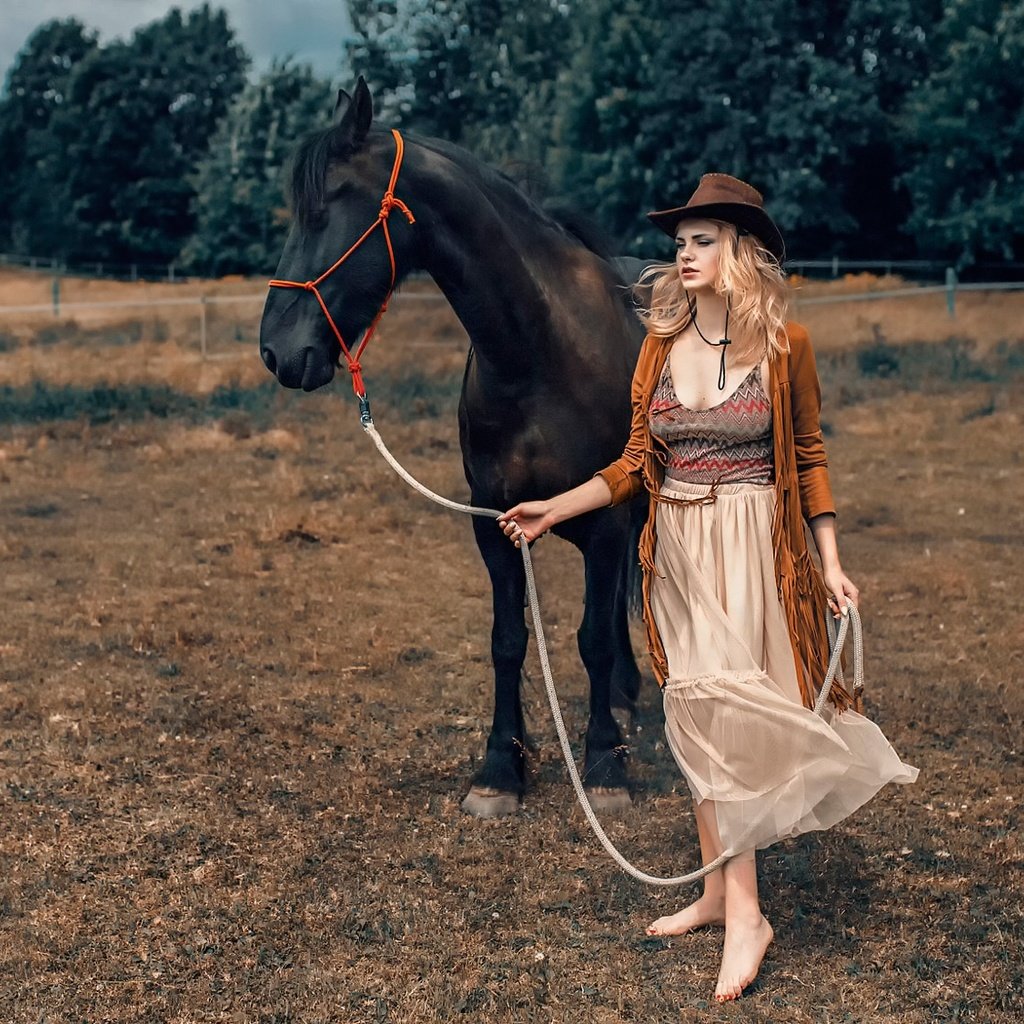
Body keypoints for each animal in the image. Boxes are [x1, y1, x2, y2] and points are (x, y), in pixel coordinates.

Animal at [262, 79, 647, 815]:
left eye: (326, 208)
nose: (275, 350)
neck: (539, 353)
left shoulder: (608, 521)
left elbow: (591, 637)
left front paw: (606, 766)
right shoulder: (495, 522)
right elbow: (507, 640)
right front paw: (500, 769)